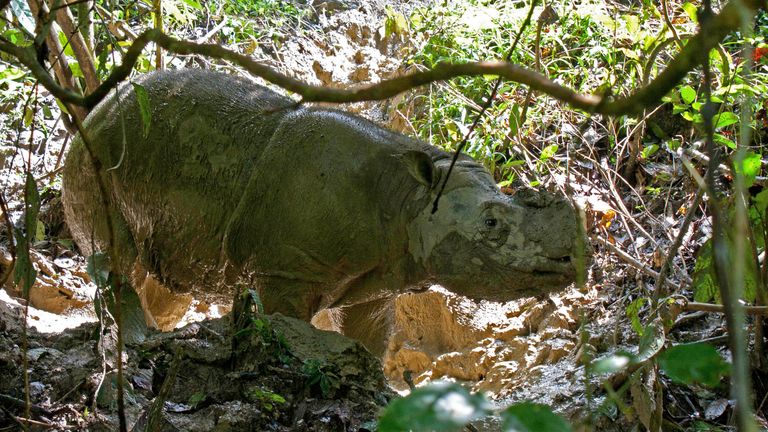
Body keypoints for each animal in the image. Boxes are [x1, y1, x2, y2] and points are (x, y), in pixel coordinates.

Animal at [63, 70, 584, 354]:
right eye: (492, 223)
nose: (573, 261)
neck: (408, 197)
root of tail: (94, 109)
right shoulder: (286, 268)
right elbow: (291, 326)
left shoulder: (376, 282)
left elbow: (372, 341)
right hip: (97, 157)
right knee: (116, 254)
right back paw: (139, 343)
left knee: (163, 274)